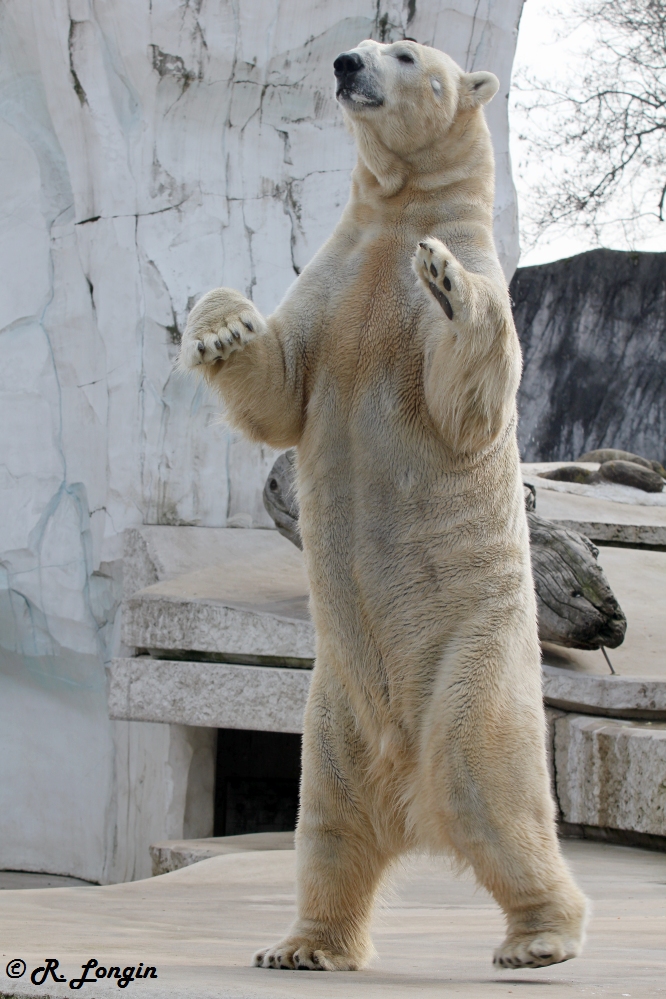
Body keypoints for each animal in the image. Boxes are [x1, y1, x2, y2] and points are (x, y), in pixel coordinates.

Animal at [178, 39, 588, 968]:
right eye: (369, 41)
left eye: (405, 55)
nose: (344, 63)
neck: (398, 213)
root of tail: (410, 797)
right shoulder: (335, 286)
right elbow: (276, 385)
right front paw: (220, 326)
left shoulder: (443, 290)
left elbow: (466, 394)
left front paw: (443, 278)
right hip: (335, 704)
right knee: (327, 822)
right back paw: (303, 944)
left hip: (471, 658)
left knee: (489, 779)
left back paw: (542, 936)